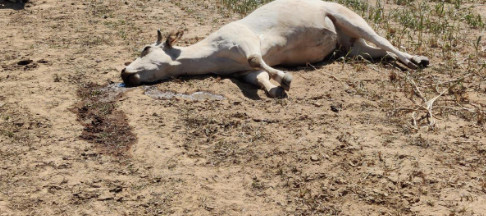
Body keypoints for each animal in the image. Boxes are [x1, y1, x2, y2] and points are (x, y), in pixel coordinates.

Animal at [121, 0, 430, 97]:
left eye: (146, 48)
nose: (124, 73)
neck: (211, 53)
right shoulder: (240, 73)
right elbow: (257, 77)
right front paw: (273, 88)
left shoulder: (245, 40)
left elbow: (256, 59)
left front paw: (285, 78)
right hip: (352, 48)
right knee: (379, 52)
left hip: (350, 18)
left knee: (385, 42)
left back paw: (417, 60)